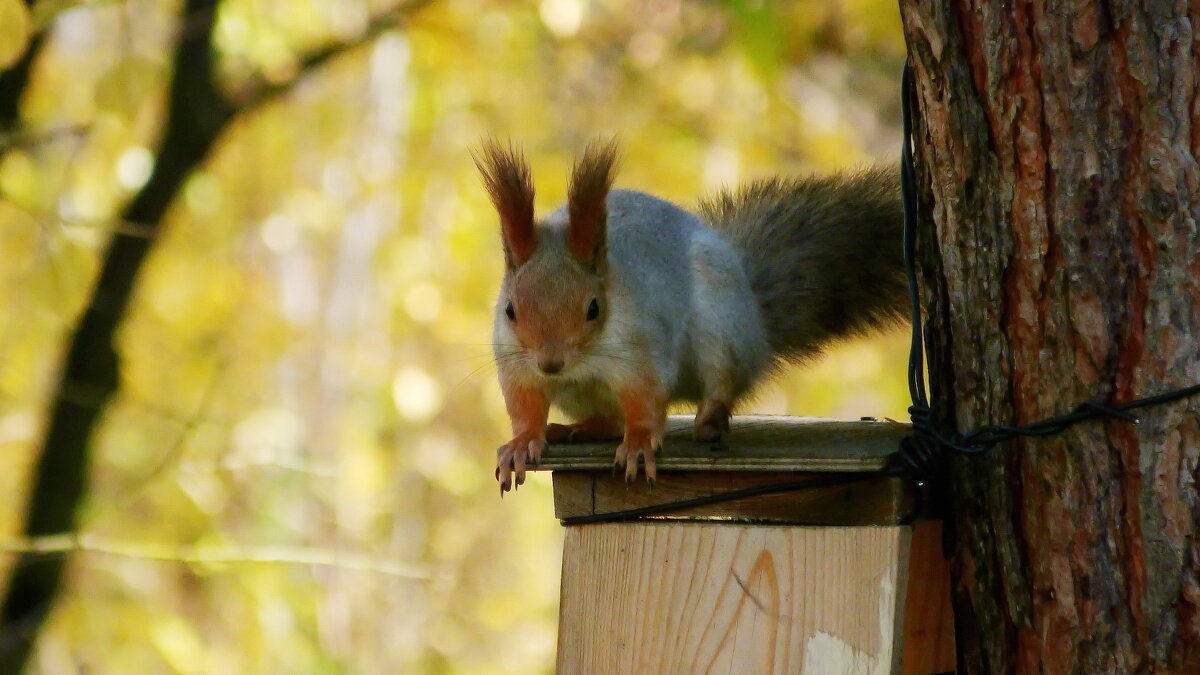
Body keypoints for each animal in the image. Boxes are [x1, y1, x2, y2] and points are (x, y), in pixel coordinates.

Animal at [472, 139, 902, 492]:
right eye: (510, 310)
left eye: (593, 308)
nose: (550, 363)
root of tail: (757, 326)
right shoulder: (515, 363)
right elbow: (524, 406)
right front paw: (521, 444)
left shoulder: (641, 350)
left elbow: (645, 400)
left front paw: (638, 444)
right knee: (608, 418)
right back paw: (577, 429)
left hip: (723, 329)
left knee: (723, 382)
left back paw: (710, 420)